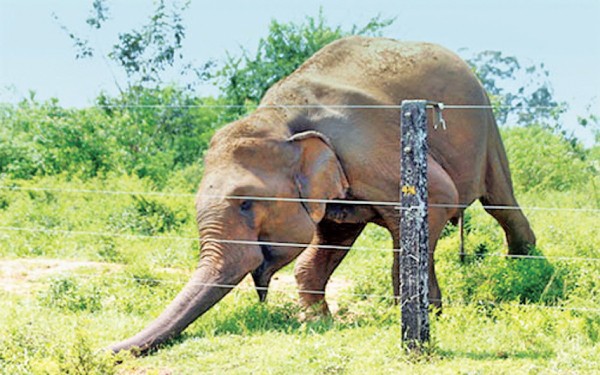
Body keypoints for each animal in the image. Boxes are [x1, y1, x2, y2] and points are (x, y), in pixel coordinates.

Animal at [110, 35, 536, 356]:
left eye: (246, 203)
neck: (280, 119)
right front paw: (316, 322)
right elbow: (329, 239)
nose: (109, 348)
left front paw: (420, 314)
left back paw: (525, 274)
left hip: (488, 129)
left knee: (501, 202)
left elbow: (437, 200)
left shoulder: (368, 146)